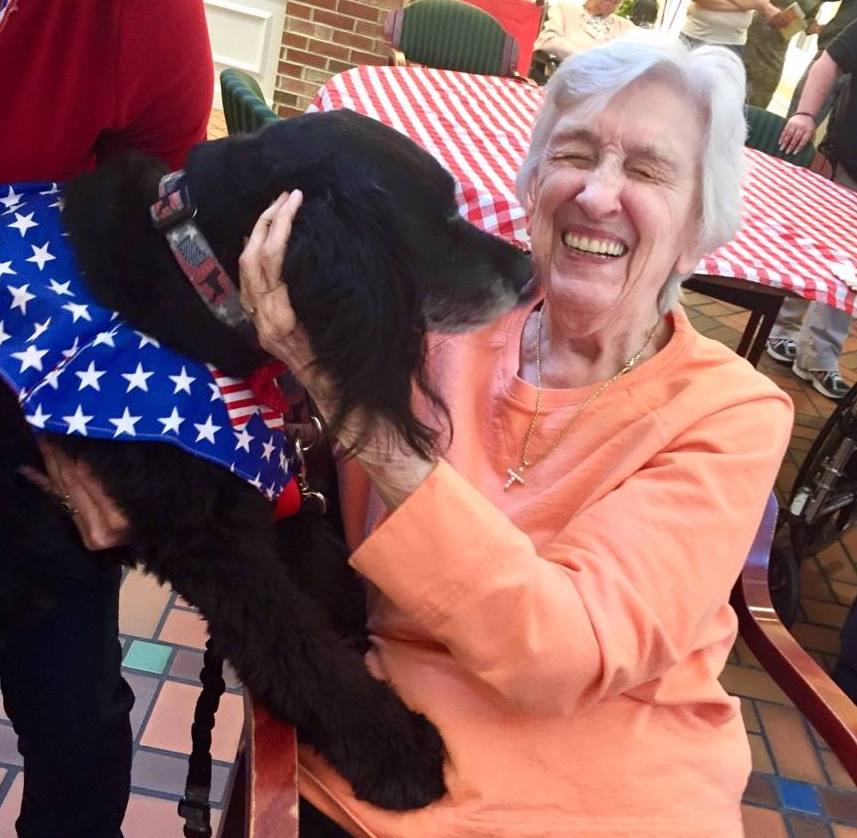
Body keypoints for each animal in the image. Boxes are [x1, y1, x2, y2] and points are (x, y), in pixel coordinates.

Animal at [0, 108, 532, 812]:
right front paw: (393, 748)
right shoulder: (207, 533)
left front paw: (355, 636)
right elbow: (290, 641)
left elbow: (320, 574)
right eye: (438, 217)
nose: (529, 270)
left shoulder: (271, 482)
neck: (192, 282)